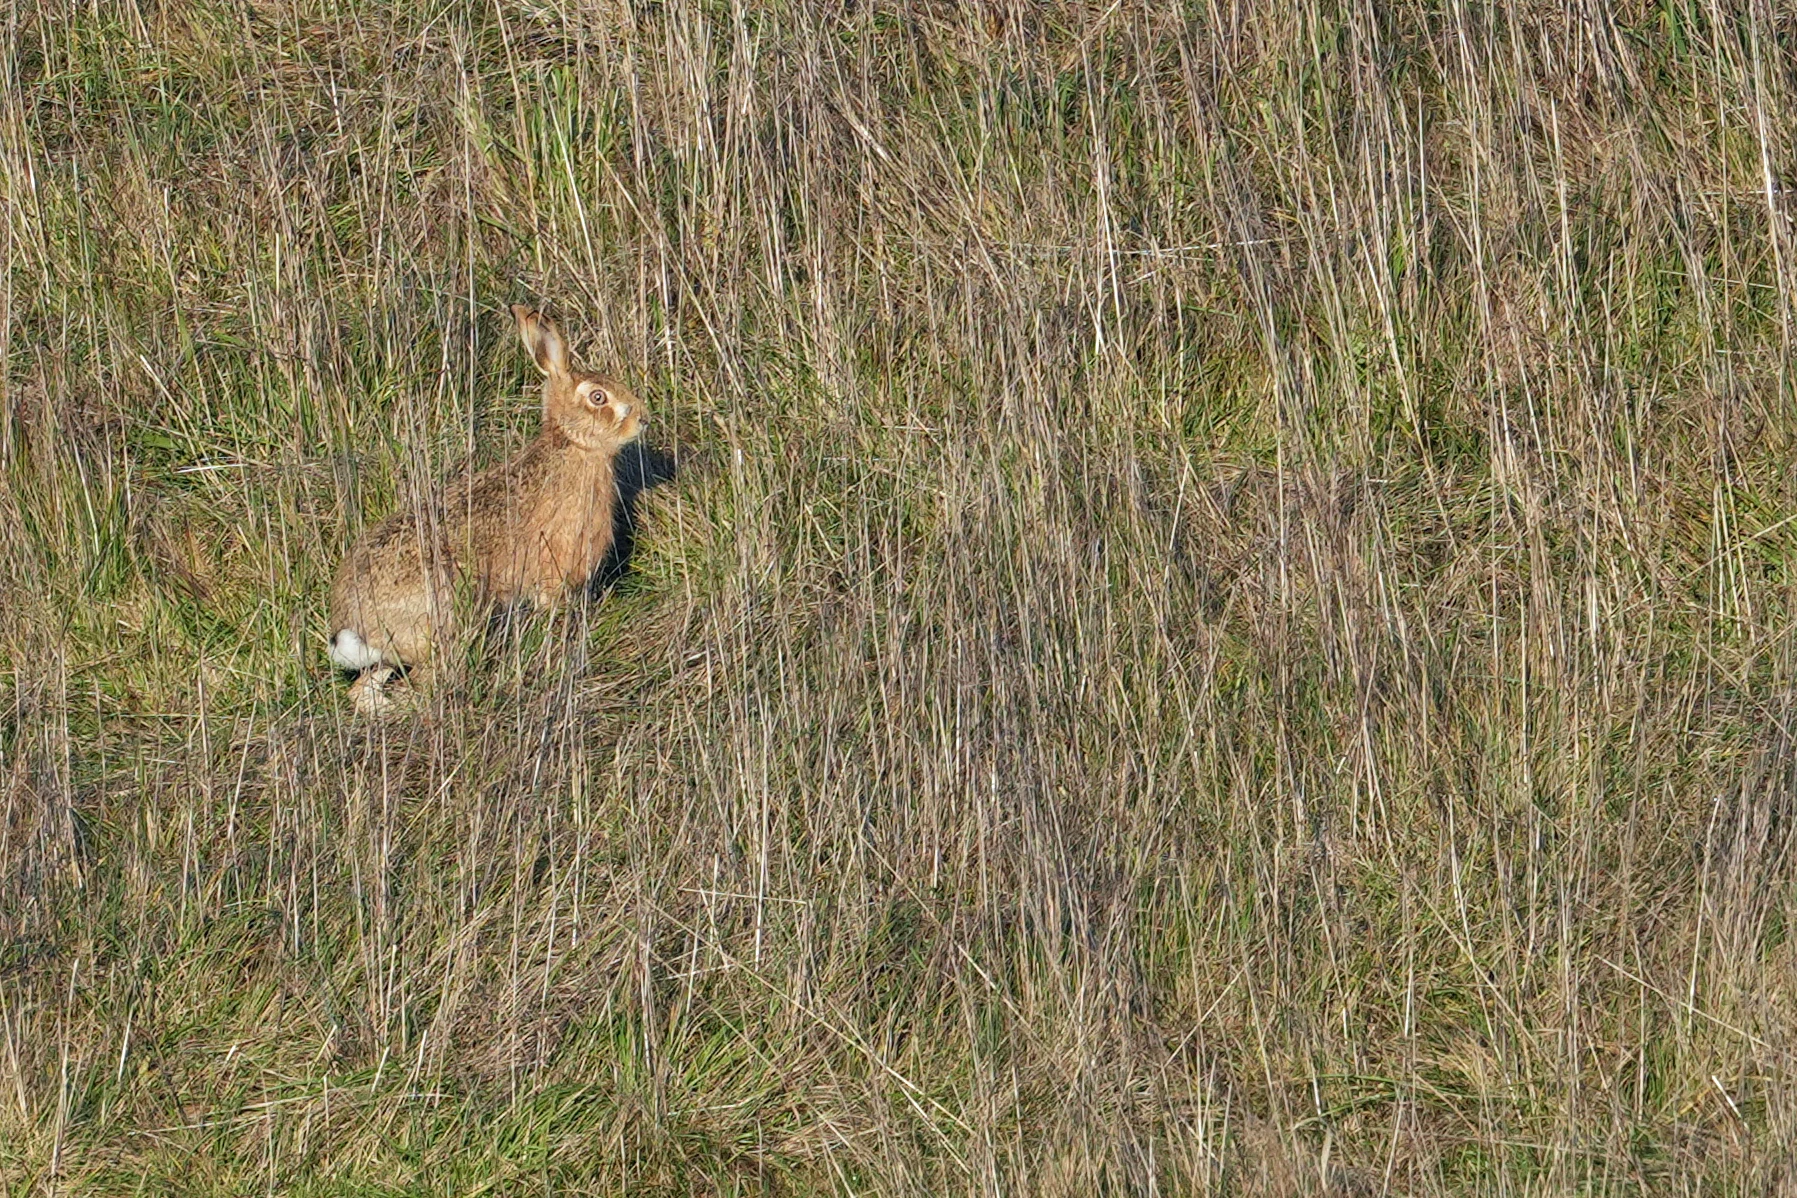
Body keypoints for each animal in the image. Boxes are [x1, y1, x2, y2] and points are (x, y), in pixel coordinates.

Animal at [327, 304, 645, 714]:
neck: (572, 446)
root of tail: (354, 627)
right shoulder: (552, 573)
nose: (642, 419)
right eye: (598, 398)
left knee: (363, 691)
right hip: (444, 617)